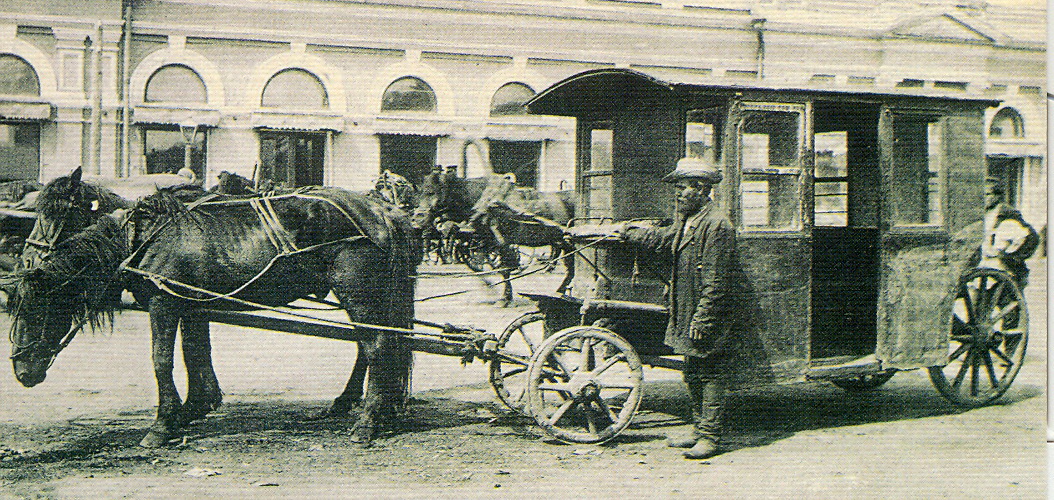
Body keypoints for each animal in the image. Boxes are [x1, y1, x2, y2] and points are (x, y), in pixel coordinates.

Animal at [9, 184, 418, 447]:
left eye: (36, 308)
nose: (21, 371)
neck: (146, 238)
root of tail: (383, 212)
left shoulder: (164, 303)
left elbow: (161, 360)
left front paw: (162, 425)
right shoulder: (193, 306)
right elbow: (195, 353)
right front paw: (193, 408)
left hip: (359, 293)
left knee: (378, 347)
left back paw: (368, 420)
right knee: (373, 346)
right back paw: (364, 407)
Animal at [413, 171, 575, 305]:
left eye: (431, 192)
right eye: (420, 193)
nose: (417, 219)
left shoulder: (502, 243)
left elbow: (504, 268)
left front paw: (505, 297)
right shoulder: (484, 242)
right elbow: (480, 267)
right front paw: (492, 288)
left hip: (566, 243)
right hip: (563, 243)